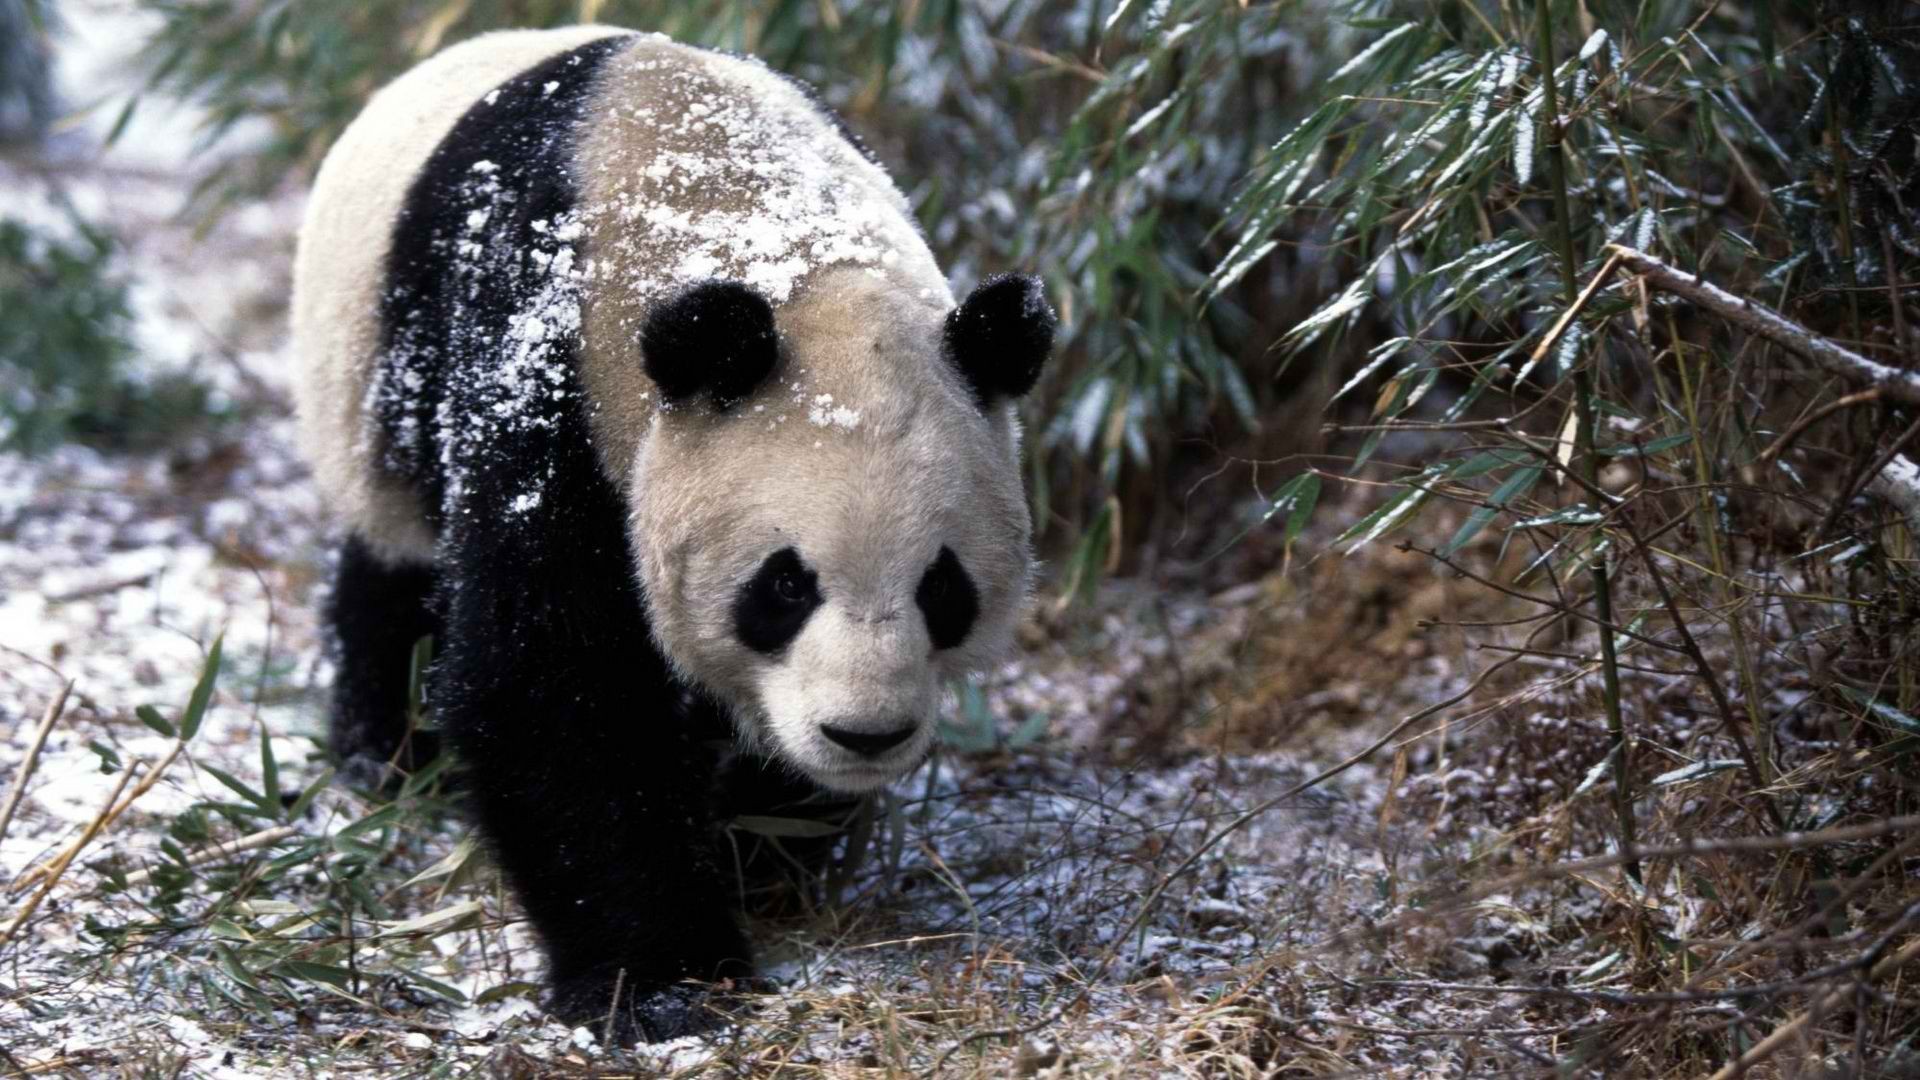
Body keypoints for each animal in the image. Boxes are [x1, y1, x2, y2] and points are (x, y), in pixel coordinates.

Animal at [290, 27, 1053, 1042]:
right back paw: (389, 751)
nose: (865, 733)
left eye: (943, 587)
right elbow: (553, 684)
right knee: (396, 567)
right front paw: (661, 979)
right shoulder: (544, 373)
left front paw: (760, 852)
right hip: (372, 391)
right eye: (784, 586)